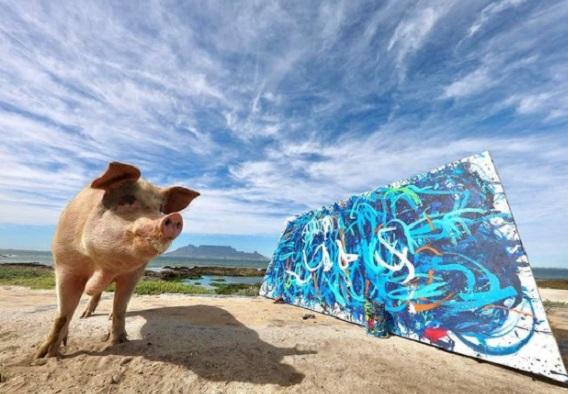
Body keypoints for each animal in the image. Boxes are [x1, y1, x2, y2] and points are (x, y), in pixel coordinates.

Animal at [35, 162, 200, 358]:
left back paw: (105, 317)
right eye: (127, 200)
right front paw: (42, 356)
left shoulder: (134, 273)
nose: (174, 217)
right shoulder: (65, 264)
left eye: (160, 208)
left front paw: (119, 342)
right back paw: (85, 315)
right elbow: (62, 314)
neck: (104, 266)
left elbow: (120, 307)